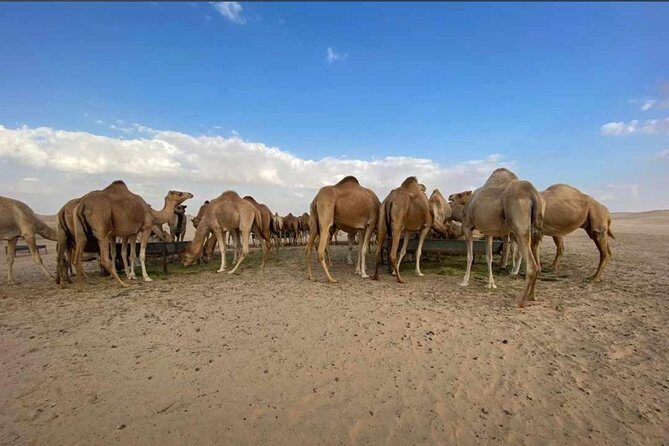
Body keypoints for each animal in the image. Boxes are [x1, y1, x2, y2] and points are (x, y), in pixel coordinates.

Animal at [455, 168, 543, 306]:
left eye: (459, 194)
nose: (450, 196)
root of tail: (533, 193)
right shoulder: (488, 232)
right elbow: (489, 257)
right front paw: (491, 284)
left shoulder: (467, 226)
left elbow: (469, 256)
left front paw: (464, 281)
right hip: (536, 230)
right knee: (538, 264)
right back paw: (531, 296)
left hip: (520, 227)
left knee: (532, 266)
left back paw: (520, 301)